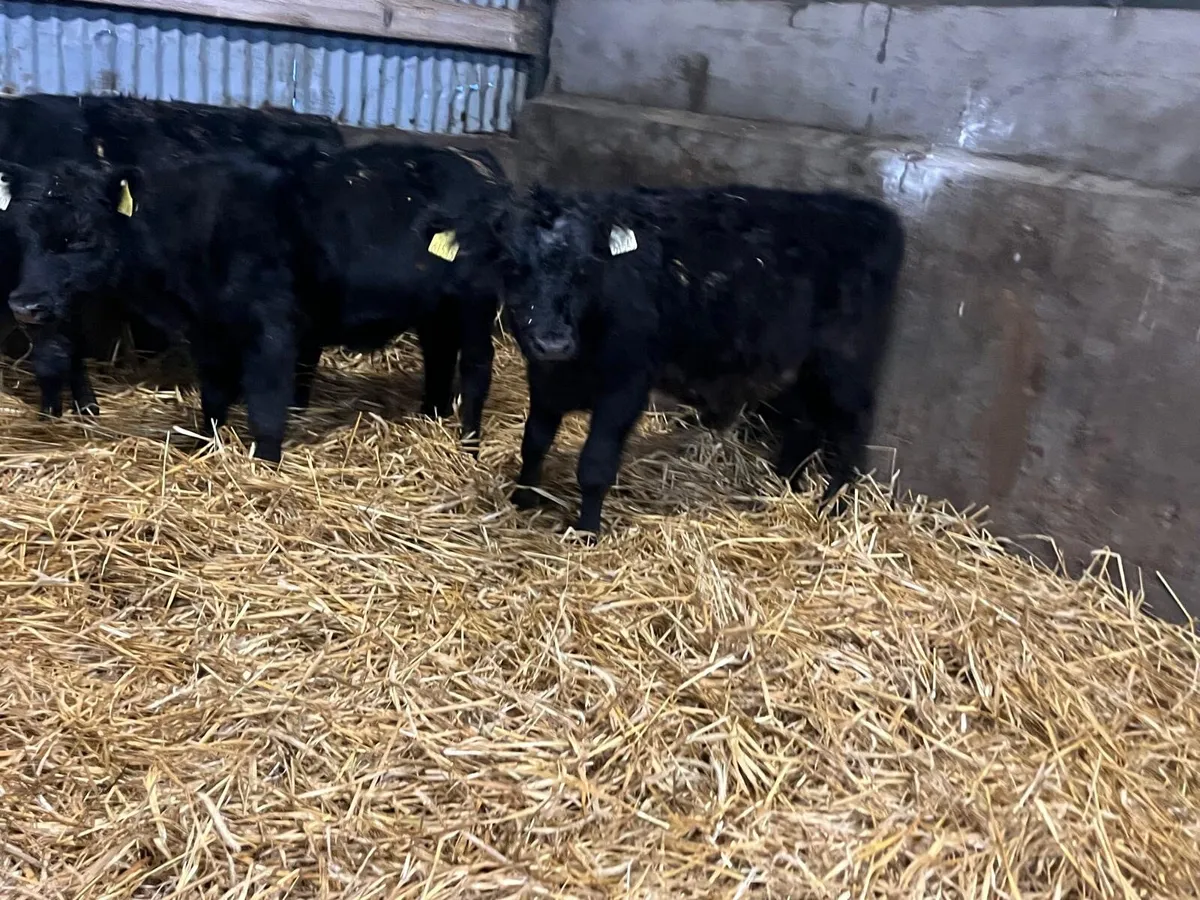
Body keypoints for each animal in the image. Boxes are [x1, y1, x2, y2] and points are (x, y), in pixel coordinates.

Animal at [2, 151, 301, 462]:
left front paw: (265, 458)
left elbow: (266, 396)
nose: (24, 305)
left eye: (82, 237)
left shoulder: (269, 321)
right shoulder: (207, 330)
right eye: (20, 234)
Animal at [284, 142, 511, 450]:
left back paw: (469, 444)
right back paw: (431, 415)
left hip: (475, 302)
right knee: (439, 352)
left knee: (476, 364)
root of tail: (480, 161)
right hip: (438, 311)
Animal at [495, 183, 906, 538]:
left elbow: (595, 464)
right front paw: (523, 499)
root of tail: (872, 213)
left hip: (845, 364)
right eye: (514, 267)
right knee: (805, 423)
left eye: (585, 268)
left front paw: (587, 531)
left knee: (852, 426)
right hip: (799, 367)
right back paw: (781, 485)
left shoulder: (626, 385)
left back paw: (834, 503)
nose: (553, 342)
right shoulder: (544, 380)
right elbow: (534, 442)